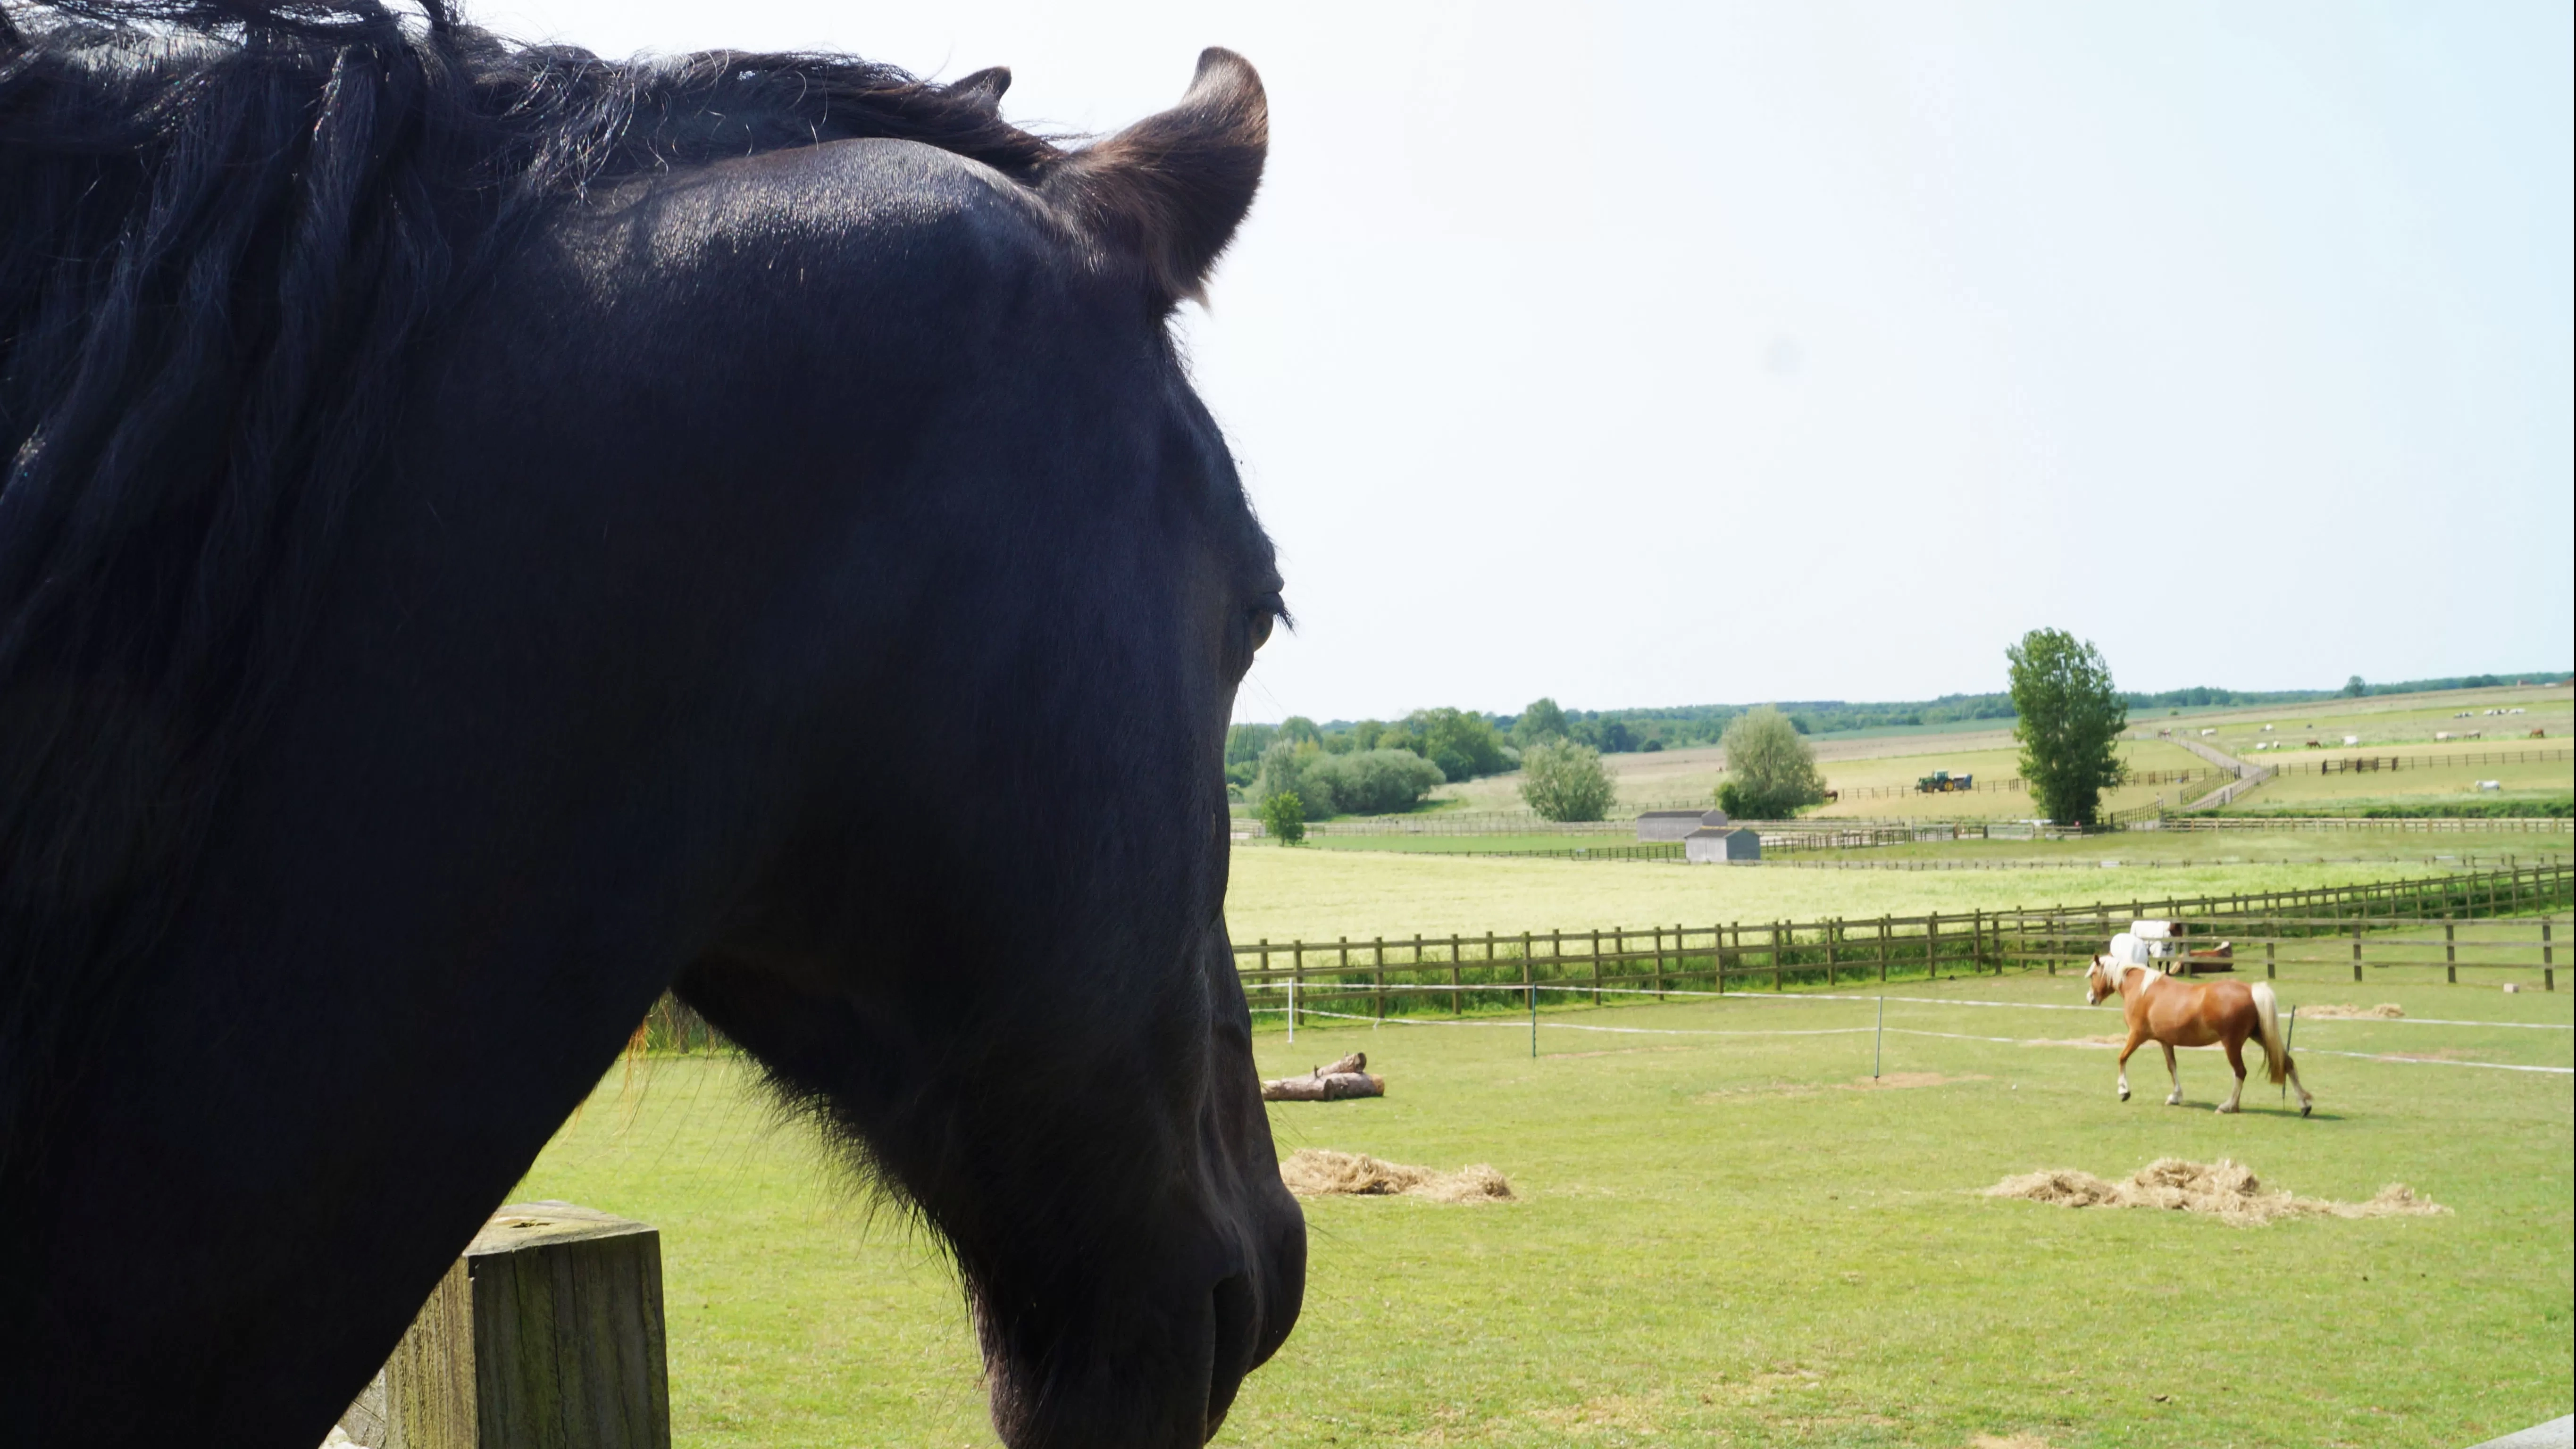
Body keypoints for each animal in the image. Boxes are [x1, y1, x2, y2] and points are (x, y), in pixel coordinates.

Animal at [2091, 957, 2318, 1117]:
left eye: (2093, 974)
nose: (2091, 998)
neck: (2143, 990)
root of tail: (2250, 989)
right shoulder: (2166, 1041)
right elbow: (2172, 1067)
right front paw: (2175, 1096)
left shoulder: (2138, 1035)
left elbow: (2122, 1058)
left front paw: (2124, 1091)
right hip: (2259, 1036)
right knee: (2287, 1063)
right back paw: (2304, 1105)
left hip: (2232, 1044)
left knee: (2241, 1072)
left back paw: (2227, 1106)